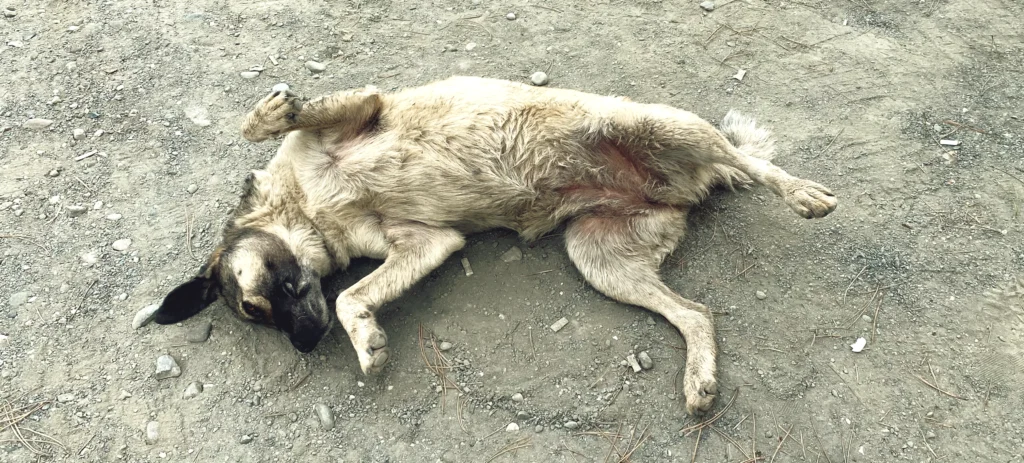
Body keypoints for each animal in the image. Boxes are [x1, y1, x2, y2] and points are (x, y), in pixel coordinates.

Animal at [153, 76, 839, 415]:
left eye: (258, 297)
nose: (305, 344)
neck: (307, 206)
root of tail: (690, 183)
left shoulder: (363, 111)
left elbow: (268, 120)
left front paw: (274, 110)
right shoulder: (427, 242)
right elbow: (352, 296)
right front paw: (366, 338)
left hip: (652, 126)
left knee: (750, 161)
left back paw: (803, 194)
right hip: (598, 259)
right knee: (696, 314)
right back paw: (699, 383)